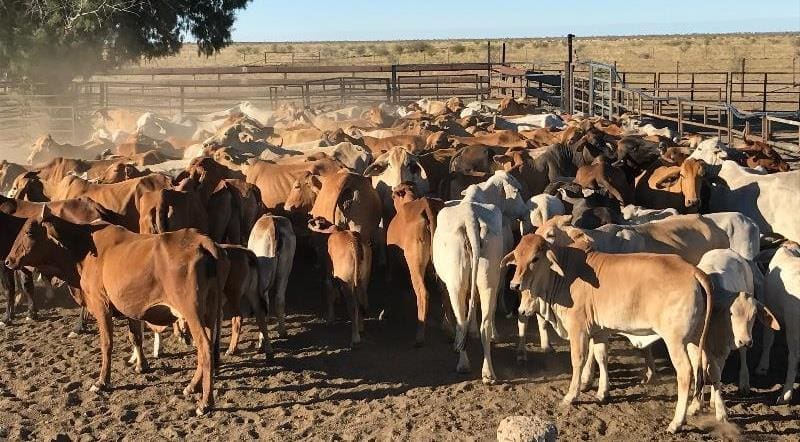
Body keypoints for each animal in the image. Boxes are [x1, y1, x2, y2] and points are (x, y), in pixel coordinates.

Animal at [4, 212, 228, 416]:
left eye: (29, 232)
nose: (8, 261)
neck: (84, 248)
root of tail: (203, 241)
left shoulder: (100, 305)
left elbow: (106, 344)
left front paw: (102, 382)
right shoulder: (130, 309)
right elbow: (135, 337)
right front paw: (141, 366)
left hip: (192, 313)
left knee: (204, 347)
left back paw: (205, 403)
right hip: (209, 311)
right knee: (206, 347)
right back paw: (192, 386)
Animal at [434, 201, 504, 384]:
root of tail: (470, 217)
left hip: (455, 278)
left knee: (461, 321)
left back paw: (463, 364)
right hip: (489, 272)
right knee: (485, 324)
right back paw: (488, 374)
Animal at [756, 242, 800, 404]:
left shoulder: (770, 311)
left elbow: (768, 340)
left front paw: (762, 367)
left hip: (794, 326)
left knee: (793, 357)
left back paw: (785, 395)